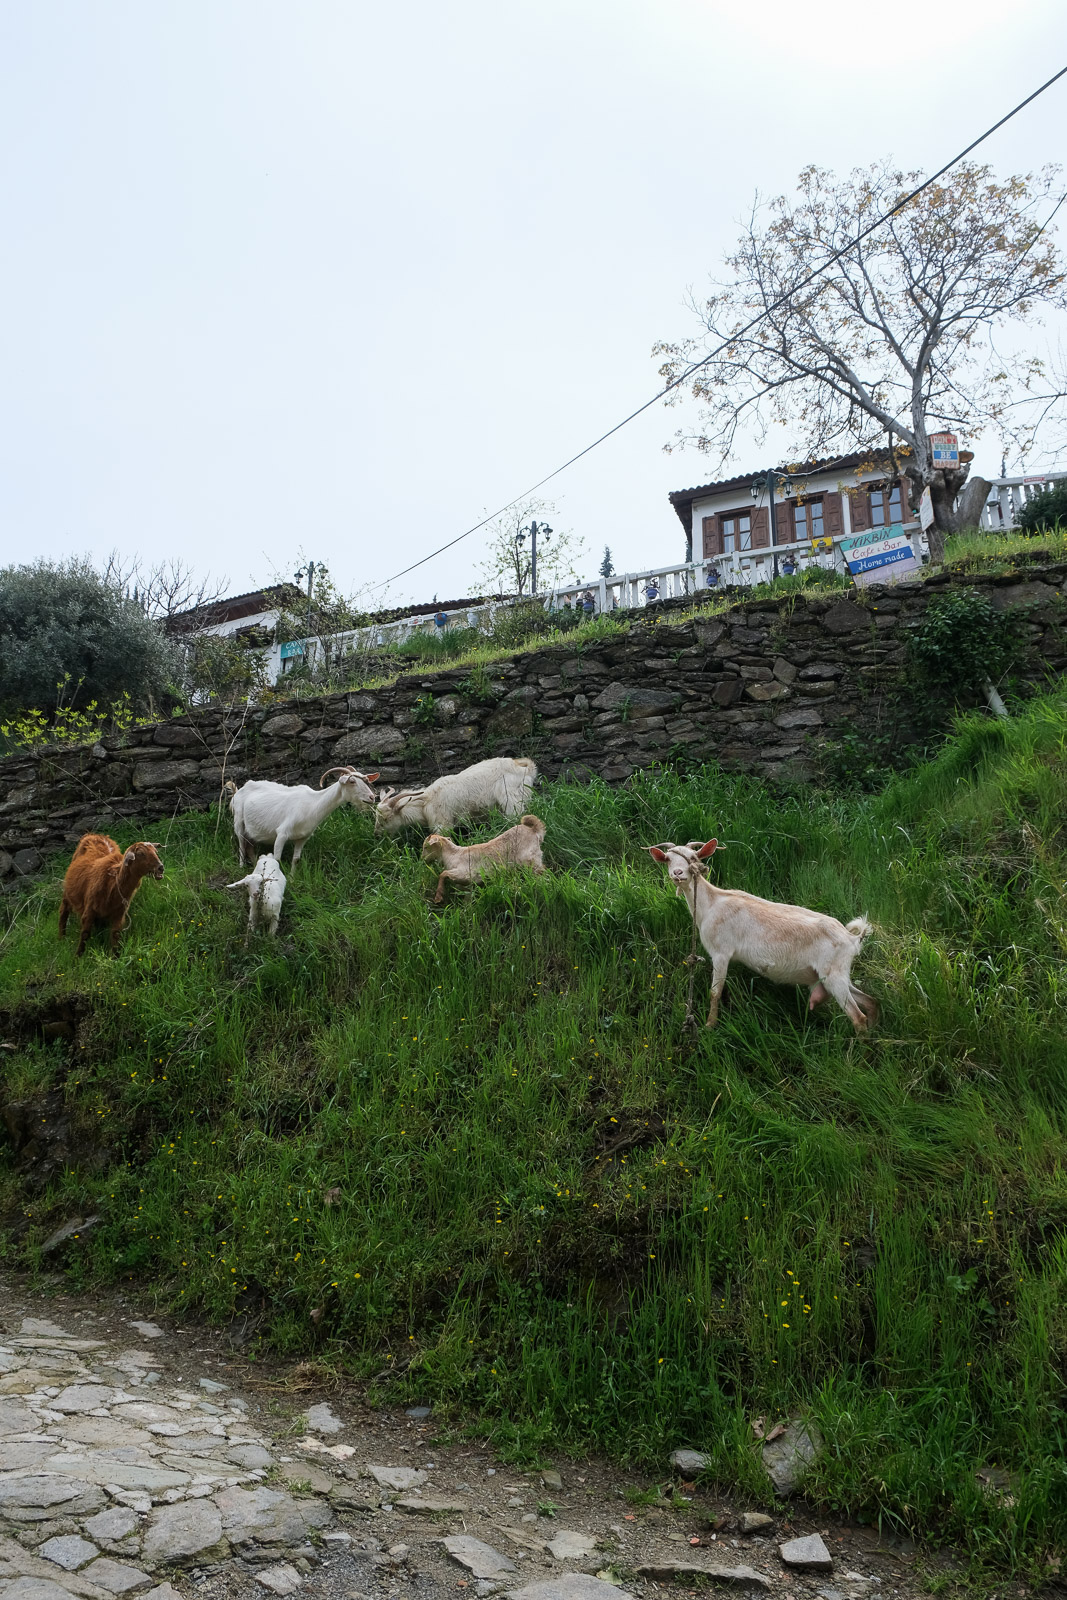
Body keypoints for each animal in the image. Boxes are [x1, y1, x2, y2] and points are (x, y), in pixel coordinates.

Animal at [229, 766, 379, 868]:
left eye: (366, 781)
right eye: (352, 781)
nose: (372, 797)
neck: (312, 805)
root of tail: (240, 790)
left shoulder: (302, 837)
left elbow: (296, 859)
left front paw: (292, 879)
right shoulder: (282, 833)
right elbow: (277, 859)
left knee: (249, 847)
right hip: (238, 820)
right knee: (241, 844)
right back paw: (241, 867)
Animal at [375, 756, 537, 836]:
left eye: (386, 818)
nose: (377, 834)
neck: (426, 801)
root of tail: (525, 768)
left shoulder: (443, 824)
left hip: (513, 801)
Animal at [648, 840, 878, 1032]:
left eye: (694, 857)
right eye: (668, 859)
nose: (678, 873)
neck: (712, 903)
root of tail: (852, 939)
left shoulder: (721, 952)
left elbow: (715, 993)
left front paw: (709, 1026)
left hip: (833, 975)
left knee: (858, 1017)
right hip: (837, 975)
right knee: (870, 1001)